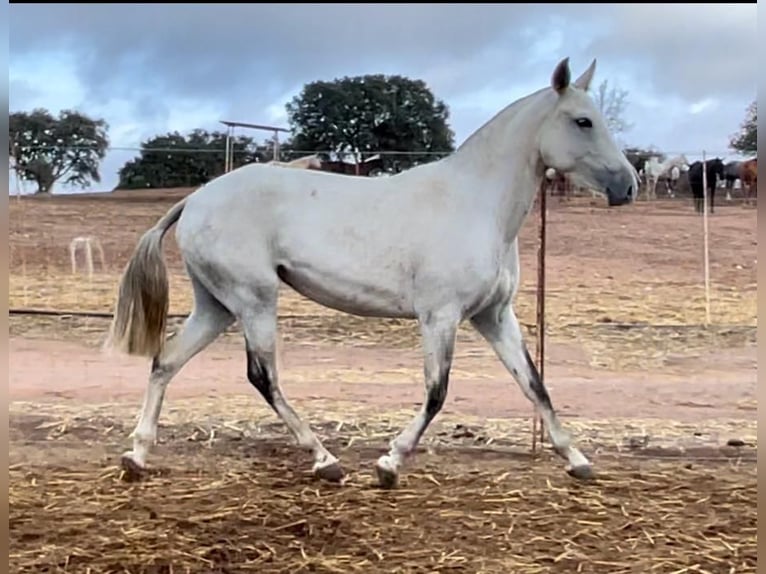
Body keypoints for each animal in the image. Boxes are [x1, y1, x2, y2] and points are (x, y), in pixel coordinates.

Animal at [105, 57, 640, 490]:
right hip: (254, 300)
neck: (475, 204)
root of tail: (196, 199)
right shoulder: (440, 316)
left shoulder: (493, 316)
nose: (628, 186)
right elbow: (437, 392)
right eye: (583, 120)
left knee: (166, 361)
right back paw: (325, 461)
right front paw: (389, 464)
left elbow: (534, 384)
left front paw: (578, 460)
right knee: (262, 377)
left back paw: (137, 455)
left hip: (217, 306)